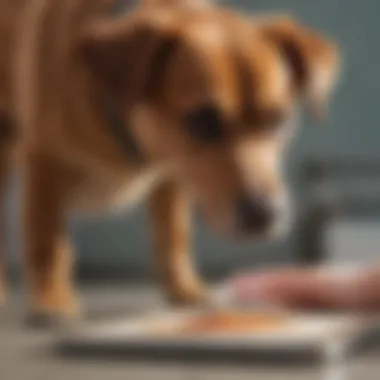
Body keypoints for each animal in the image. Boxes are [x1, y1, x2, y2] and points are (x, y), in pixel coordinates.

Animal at [0, 0, 340, 324]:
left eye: (279, 119)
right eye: (202, 121)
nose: (265, 215)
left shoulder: (172, 177)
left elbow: (173, 236)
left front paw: (183, 289)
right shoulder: (43, 163)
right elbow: (48, 243)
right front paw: (51, 300)